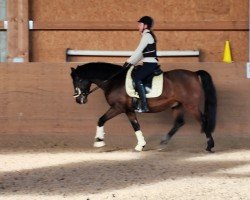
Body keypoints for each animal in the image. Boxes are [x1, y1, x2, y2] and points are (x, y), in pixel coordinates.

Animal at [70, 62, 217, 152]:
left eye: (78, 80)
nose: (79, 99)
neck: (114, 80)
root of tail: (194, 73)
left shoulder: (119, 108)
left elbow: (103, 120)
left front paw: (99, 141)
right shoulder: (127, 110)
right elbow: (134, 125)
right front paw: (140, 145)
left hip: (191, 105)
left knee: (203, 121)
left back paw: (209, 146)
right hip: (177, 105)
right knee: (179, 122)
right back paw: (163, 143)